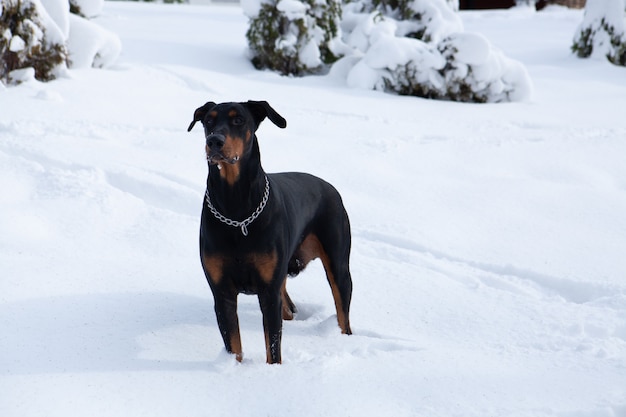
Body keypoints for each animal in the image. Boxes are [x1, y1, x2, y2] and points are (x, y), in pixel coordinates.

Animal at [186, 99, 352, 362]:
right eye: (208, 121)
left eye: (238, 119)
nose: (214, 141)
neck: (237, 208)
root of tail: (331, 188)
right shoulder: (222, 292)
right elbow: (234, 345)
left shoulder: (268, 292)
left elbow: (273, 346)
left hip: (338, 262)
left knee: (342, 310)